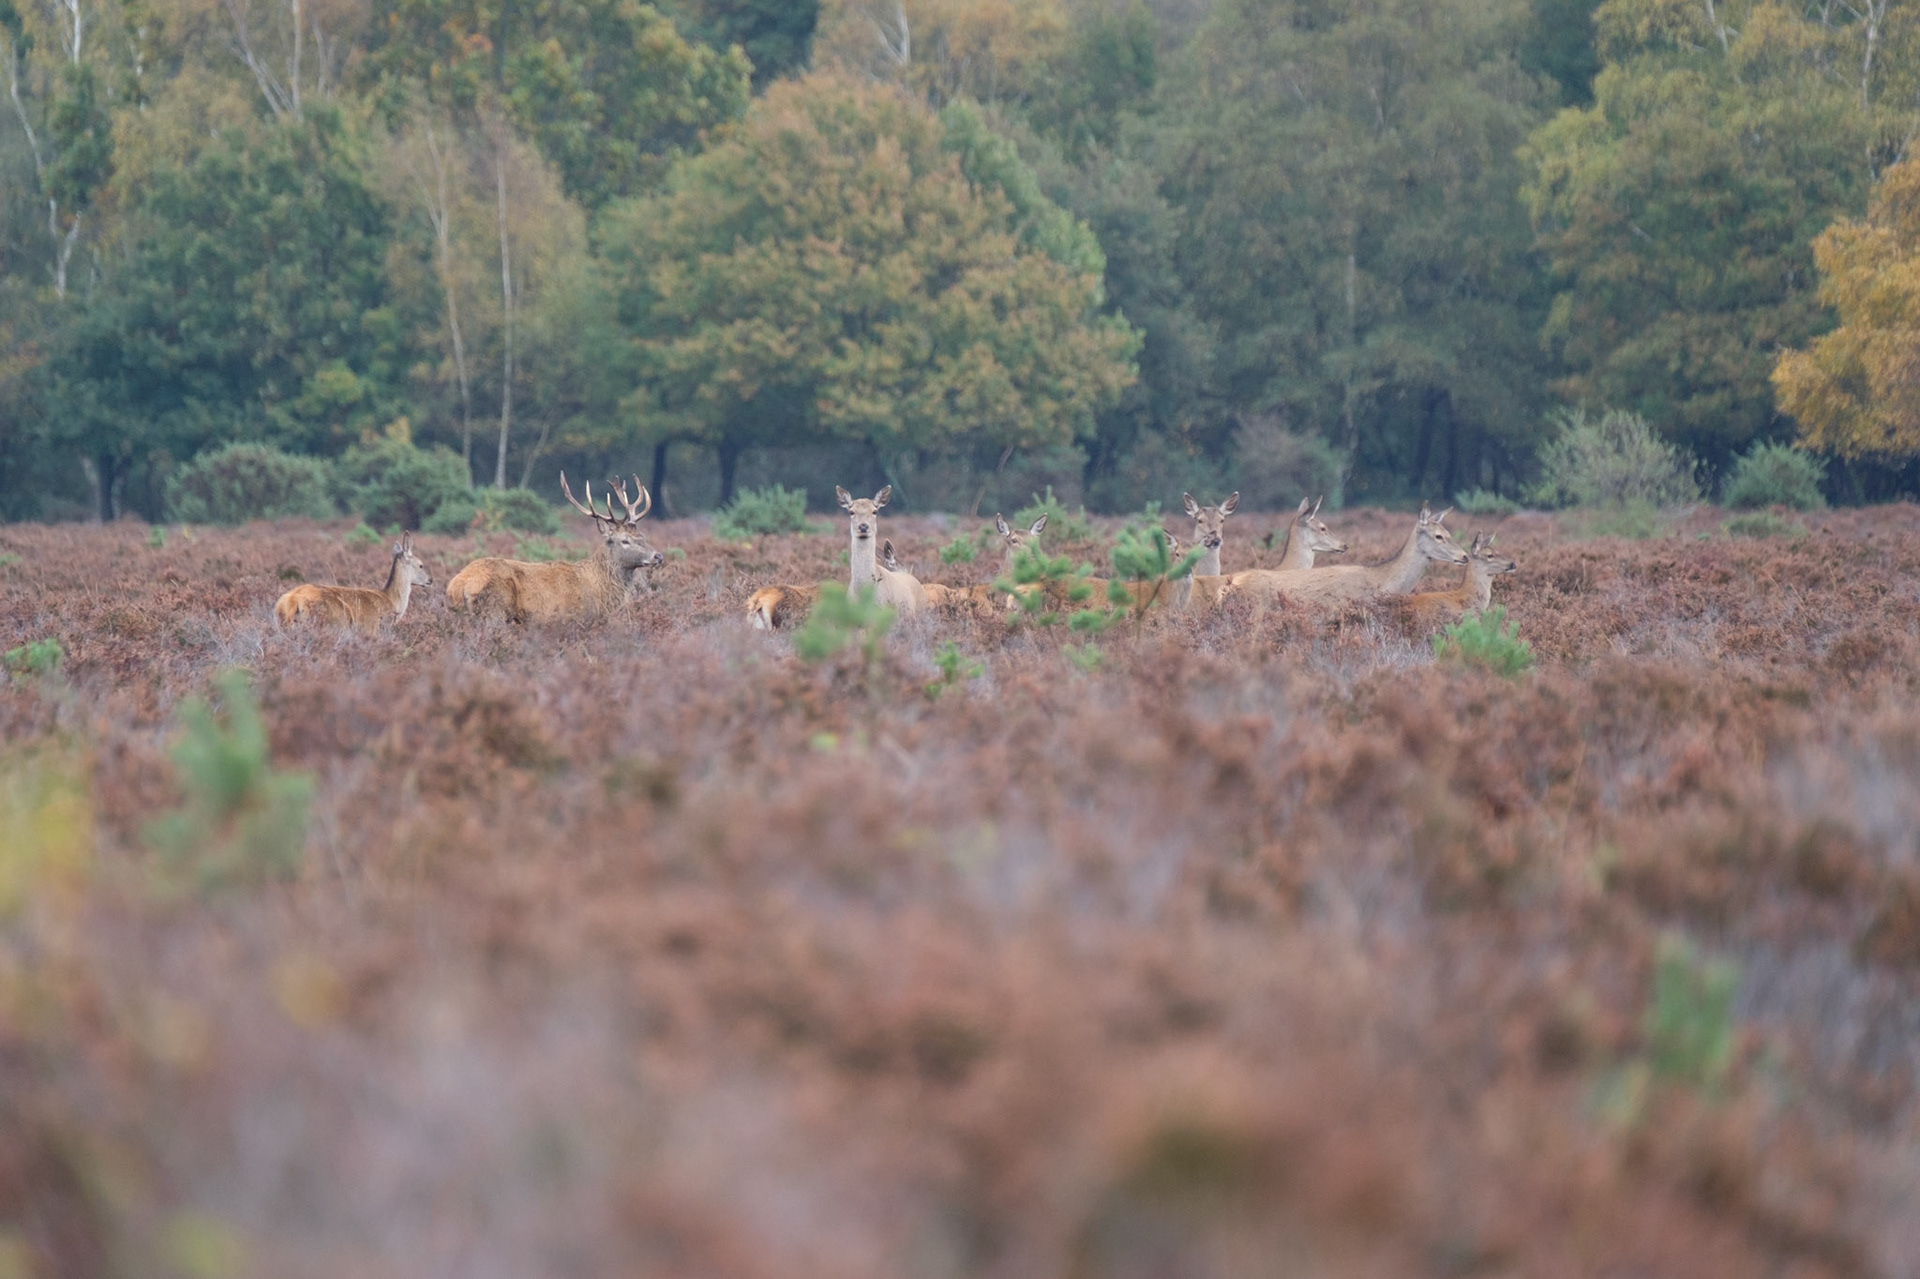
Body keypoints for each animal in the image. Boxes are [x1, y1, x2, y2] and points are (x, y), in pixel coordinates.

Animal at [275, 535, 433, 634]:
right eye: (421, 565)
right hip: (335, 623)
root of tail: (293, 601)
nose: (430, 580)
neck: (392, 601)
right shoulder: (372, 629)